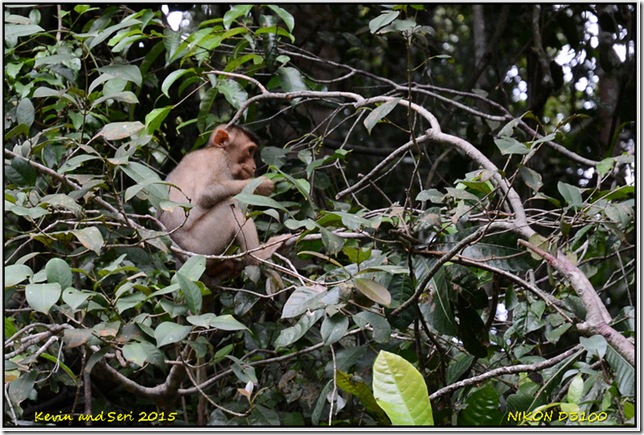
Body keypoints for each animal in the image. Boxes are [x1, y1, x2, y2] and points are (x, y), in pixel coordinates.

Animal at [158, 124, 282, 284]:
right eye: (250, 151)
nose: (254, 166)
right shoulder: (216, 159)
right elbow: (206, 193)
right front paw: (261, 185)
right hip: (200, 246)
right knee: (229, 206)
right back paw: (256, 257)